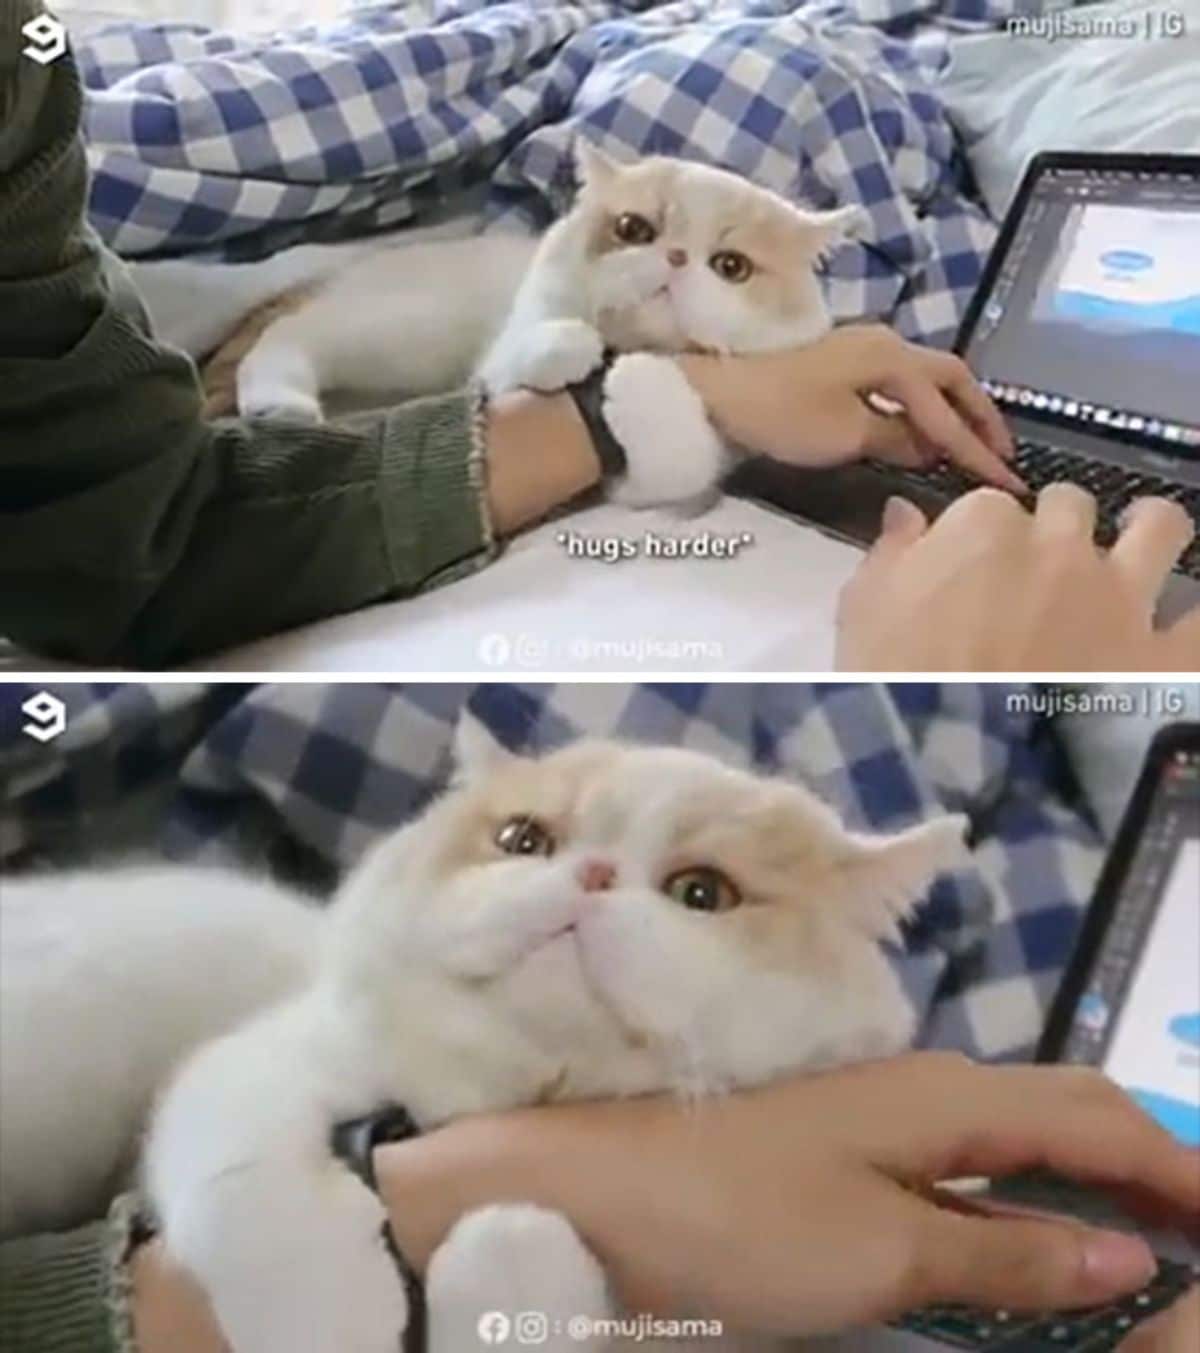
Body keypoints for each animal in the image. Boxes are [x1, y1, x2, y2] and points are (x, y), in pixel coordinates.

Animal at [0, 719, 968, 1353]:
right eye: (521, 839)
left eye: (702, 893)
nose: (592, 873)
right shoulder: (260, 1065)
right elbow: (249, 1187)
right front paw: (336, 1316)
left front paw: (512, 1262)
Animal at [216, 144, 860, 508]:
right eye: (634, 229)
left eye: (732, 267)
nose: (676, 258)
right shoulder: (493, 374)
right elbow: (538, 346)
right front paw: (580, 347)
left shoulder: (678, 467)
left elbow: (676, 456)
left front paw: (640, 382)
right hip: (398, 330)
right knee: (288, 337)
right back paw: (280, 406)